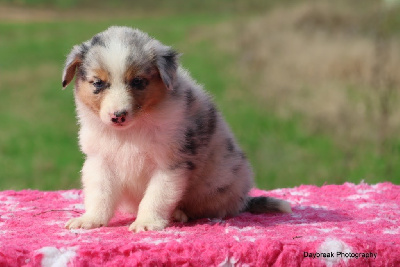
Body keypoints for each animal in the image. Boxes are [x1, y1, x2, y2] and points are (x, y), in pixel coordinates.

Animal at [61, 26, 290, 233]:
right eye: (98, 83)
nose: (118, 116)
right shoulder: (100, 160)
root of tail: (243, 200)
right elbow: (100, 194)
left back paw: (179, 214)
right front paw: (90, 220)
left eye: (138, 81)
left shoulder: (170, 163)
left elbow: (156, 196)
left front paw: (147, 223)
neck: (130, 131)